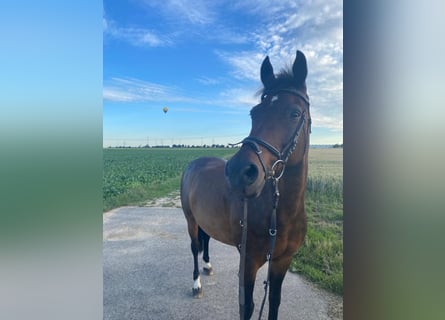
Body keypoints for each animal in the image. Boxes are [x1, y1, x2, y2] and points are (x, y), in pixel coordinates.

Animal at [179, 50, 310, 320]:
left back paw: (208, 265)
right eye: (254, 113)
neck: (280, 213)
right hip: (190, 220)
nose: (239, 172)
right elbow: (247, 307)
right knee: (195, 246)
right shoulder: (248, 263)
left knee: (206, 240)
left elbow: (274, 303)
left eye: (294, 113)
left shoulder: (282, 262)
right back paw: (197, 283)